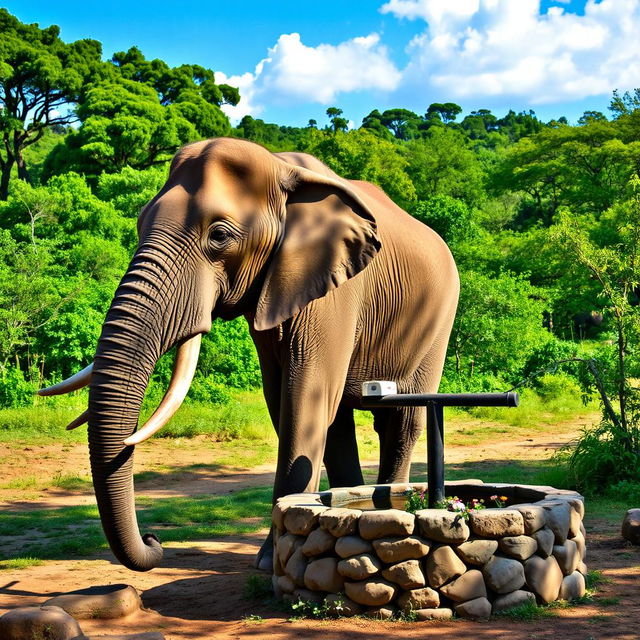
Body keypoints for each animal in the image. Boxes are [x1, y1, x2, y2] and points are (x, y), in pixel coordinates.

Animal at [40, 138, 460, 572]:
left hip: (438, 320)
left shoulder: (337, 289)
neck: (280, 167)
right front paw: (271, 554)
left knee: (401, 420)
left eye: (219, 236)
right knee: (340, 422)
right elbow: (285, 399)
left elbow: (303, 399)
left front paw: (268, 560)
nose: (155, 539)